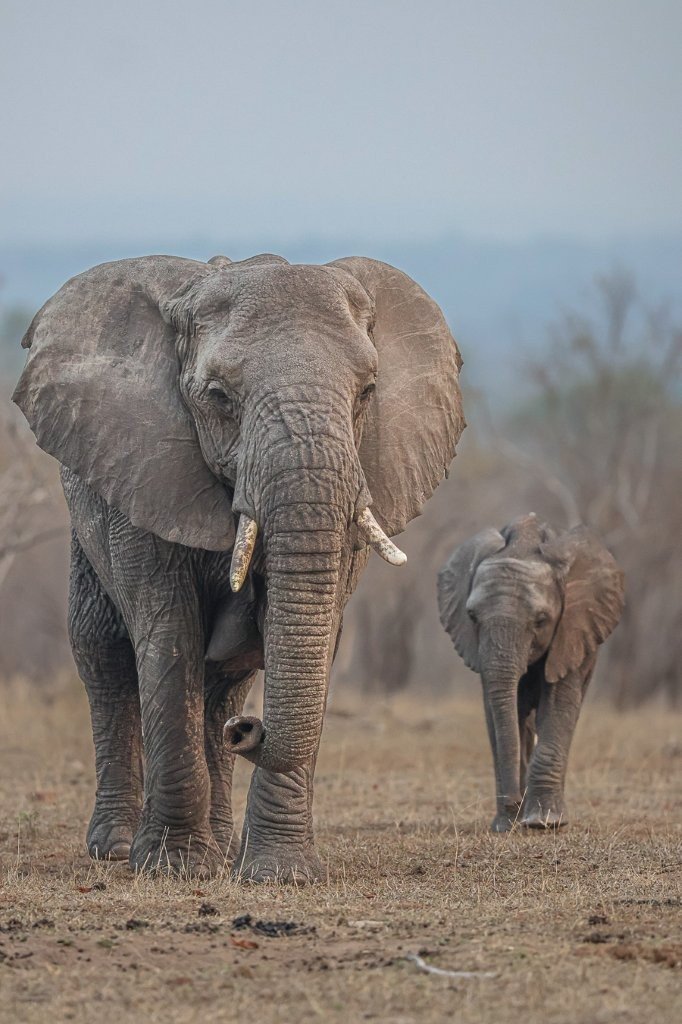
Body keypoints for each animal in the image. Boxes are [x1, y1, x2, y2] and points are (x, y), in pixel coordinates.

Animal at [13, 252, 464, 881]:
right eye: (219, 396)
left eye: (368, 391)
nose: (248, 732)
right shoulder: (145, 475)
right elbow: (170, 634)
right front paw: (175, 868)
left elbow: (310, 632)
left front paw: (281, 873)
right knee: (104, 652)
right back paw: (121, 848)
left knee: (225, 681)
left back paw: (224, 846)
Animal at [437, 514, 624, 832]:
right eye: (472, 616)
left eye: (541, 620)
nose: (513, 804)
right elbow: (501, 710)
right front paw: (507, 823)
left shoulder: (572, 630)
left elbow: (559, 702)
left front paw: (542, 822)